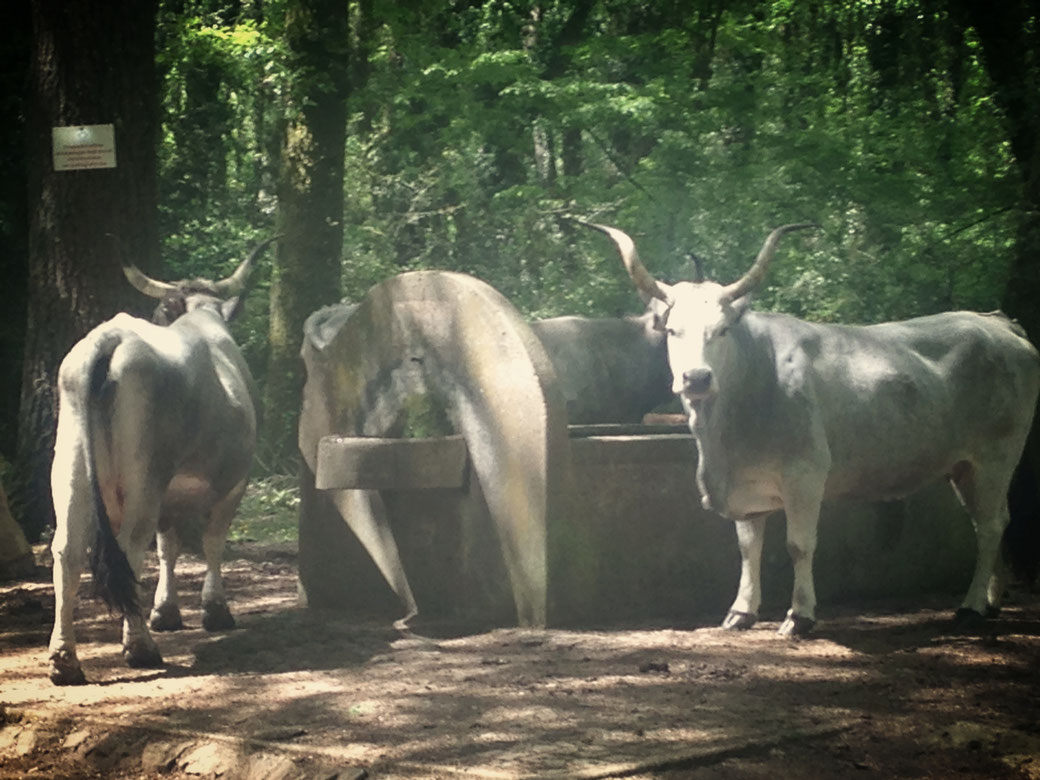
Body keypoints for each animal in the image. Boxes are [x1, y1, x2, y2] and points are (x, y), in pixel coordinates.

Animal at [47, 238, 276, 682]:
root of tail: (111, 339)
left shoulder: (171, 493)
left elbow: (168, 545)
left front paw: (166, 612)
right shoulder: (234, 481)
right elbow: (211, 541)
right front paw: (215, 610)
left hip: (70, 468)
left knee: (67, 549)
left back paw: (64, 660)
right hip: (143, 475)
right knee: (130, 546)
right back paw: (140, 649)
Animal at [586, 222, 1040, 636]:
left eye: (723, 330)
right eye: (672, 330)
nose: (696, 378)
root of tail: (998, 324)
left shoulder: (805, 474)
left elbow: (798, 544)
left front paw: (799, 616)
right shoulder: (748, 484)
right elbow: (748, 546)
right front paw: (741, 612)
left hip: (996, 457)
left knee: (991, 525)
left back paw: (971, 607)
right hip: (964, 468)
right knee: (991, 522)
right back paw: (991, 601)